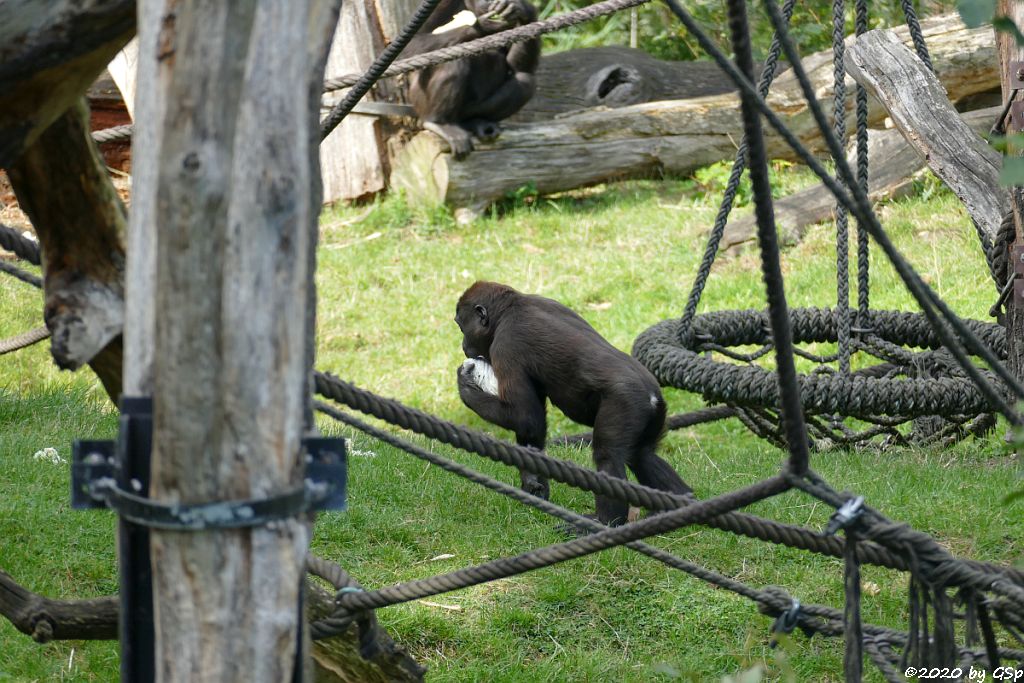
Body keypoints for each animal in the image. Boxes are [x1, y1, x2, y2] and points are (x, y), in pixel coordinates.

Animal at [403, 0, 540, 160]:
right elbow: (413, 42)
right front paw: (481, 25)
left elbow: (518, 66)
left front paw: (523, 9)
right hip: (419, 103)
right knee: (452, 58)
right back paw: (439, 123)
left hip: (465, 112)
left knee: (525, 81)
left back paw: (474, 122)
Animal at [454, 280, 688, 528]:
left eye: (462, 327)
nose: (463, 344)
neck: (511, 307)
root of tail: (653, 395)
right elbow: (532, 426)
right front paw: (533, 483)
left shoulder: (505, 345)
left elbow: (525, 417)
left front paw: (466, 387)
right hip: (653, 411)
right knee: (641, 454)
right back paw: (676, 503)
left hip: (626, 402)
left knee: (608, 457)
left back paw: (604, 522)